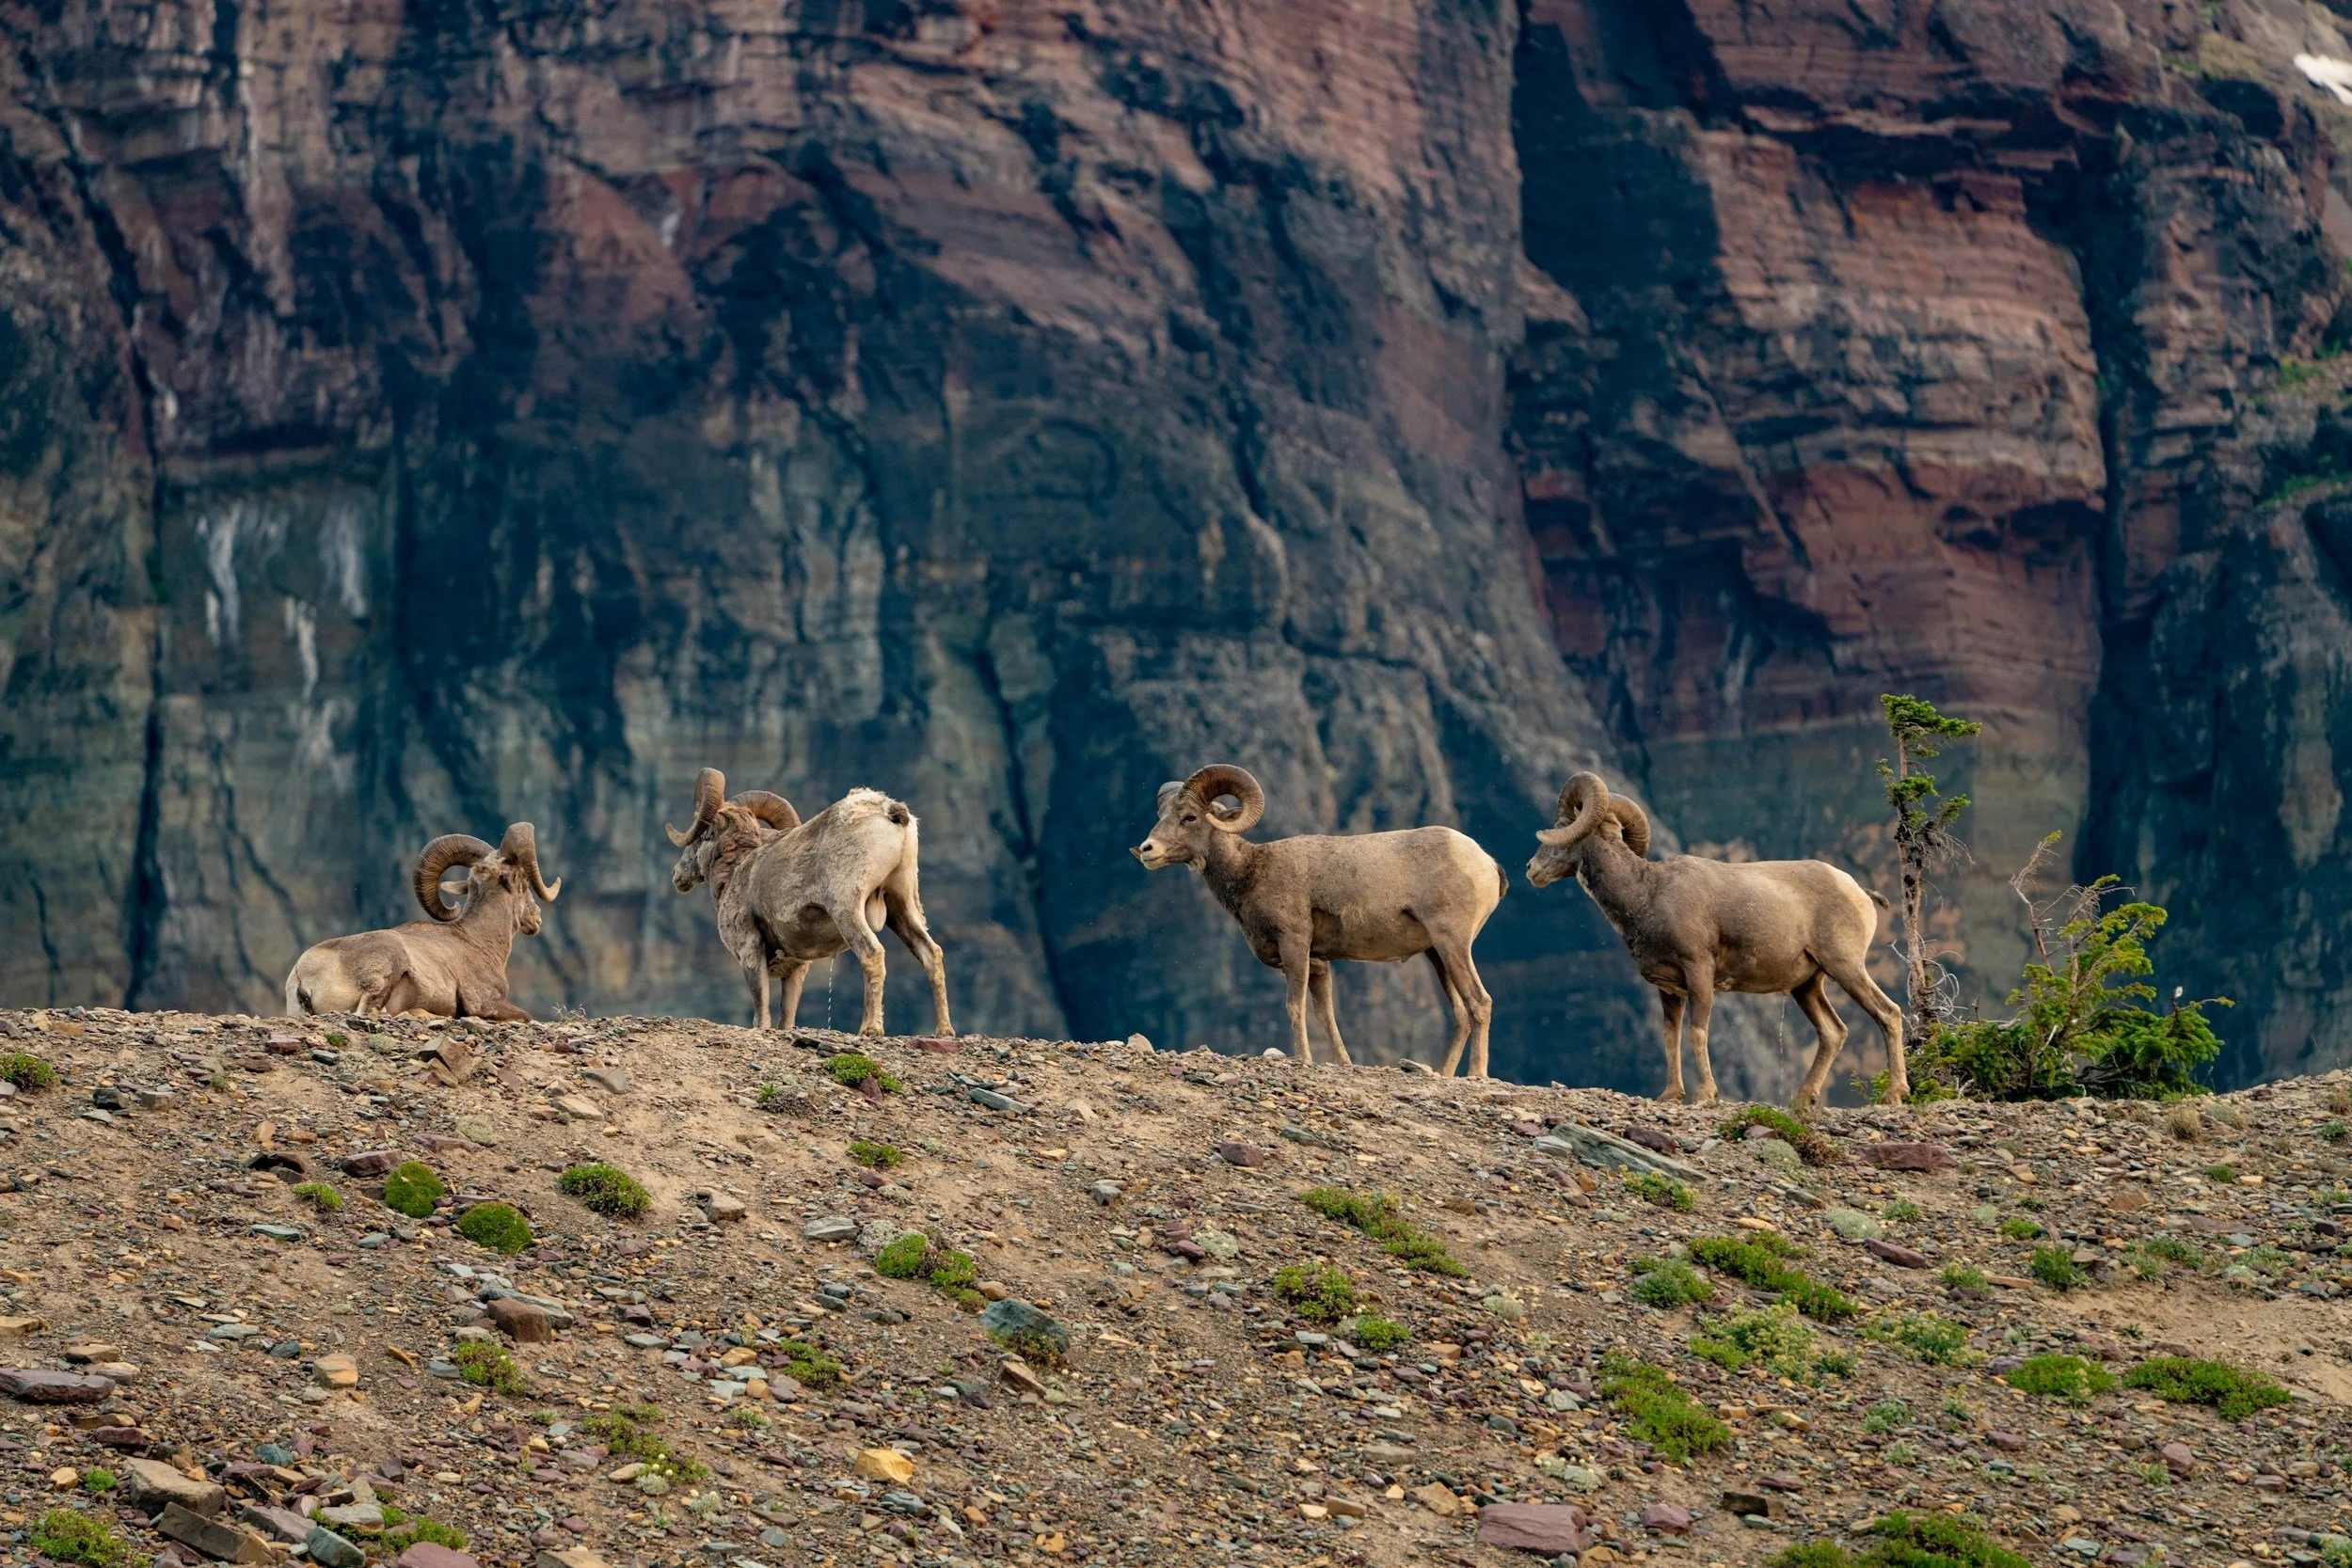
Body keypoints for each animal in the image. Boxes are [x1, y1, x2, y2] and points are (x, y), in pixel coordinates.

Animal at [284, 823, 561, 1020]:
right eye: (523, 880)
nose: (536, 918)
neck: (477, 941)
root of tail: (303, 975)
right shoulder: (488, 1003)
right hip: (386, 967)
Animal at [667, 767, 953, 1036]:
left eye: (703, 836)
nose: (677, 876)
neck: (737, 869)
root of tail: (891, 812)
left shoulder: (750, 948)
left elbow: (761, 1006)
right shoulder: (798, 964)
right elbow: (787, 1014)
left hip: (848, 909)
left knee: (872, 954)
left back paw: (869, 1029)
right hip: (902, 906)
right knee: (931, 955)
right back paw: (944, 1030)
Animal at [1131, 764, 1507, 1074]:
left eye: (1190, 817)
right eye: (1162, 814)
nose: (1147, 850)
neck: (1251, 870)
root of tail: (1486, 863)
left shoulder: (1295, 945)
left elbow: (1295, 1007)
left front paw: (1304, 1059)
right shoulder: (1319, 963)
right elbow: (1326, 1015)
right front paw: (1343, 1063)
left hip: (1452, 943)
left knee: (1479, 1002)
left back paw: (1476, 1075)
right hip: (1436, 954)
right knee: (1461, 1013)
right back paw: (1444, 1074)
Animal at [1525, 772, 1906, 1108]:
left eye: (1562, 827)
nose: (1531, 870)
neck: (1646, 895)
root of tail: (1859, 891)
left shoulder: (1699, 974)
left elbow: (1697, 1032)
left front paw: (1705, 1094)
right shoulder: (1668, 988)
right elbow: (1671, 1036)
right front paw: (1670, 1095)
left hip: (1845, 967)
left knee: (1888, 1014)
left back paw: (1894, 1095)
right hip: (1807, 986)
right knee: (1833, 1032)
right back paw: (1802, 1099)